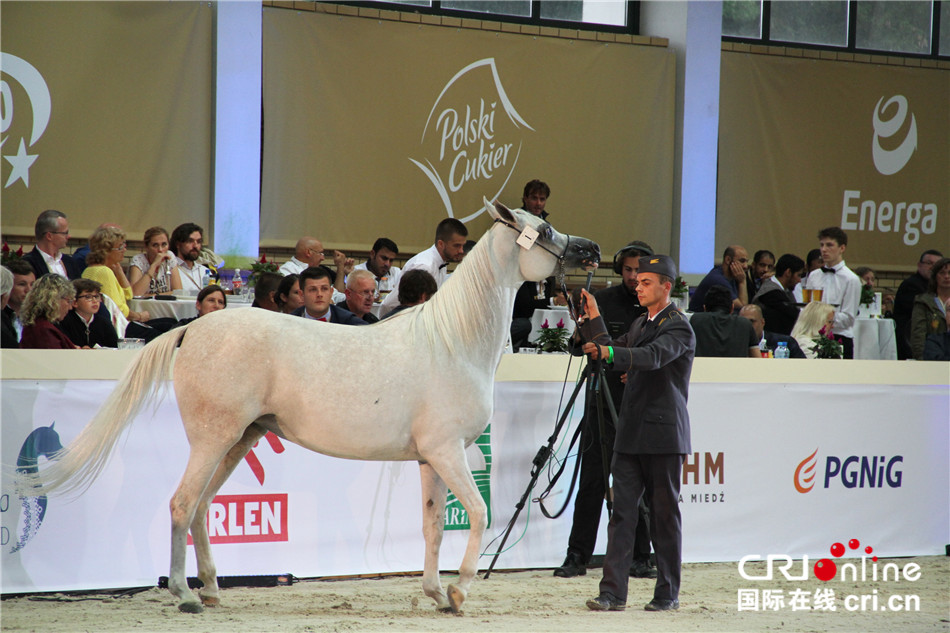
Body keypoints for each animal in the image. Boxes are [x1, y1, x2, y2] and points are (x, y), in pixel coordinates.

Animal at [22, 199, 600, 614]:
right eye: (545, 231)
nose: (592, 250)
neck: (453, 341)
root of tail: (193, 329)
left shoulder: (432, 458)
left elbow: (435, 524)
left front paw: (436, 594)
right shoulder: (448, 452)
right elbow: (479, 513)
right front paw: (459, 591)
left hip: (239, 440)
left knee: (203, 507)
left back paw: (210, 589)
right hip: (213, 438)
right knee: (182, 504)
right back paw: (185, 597)